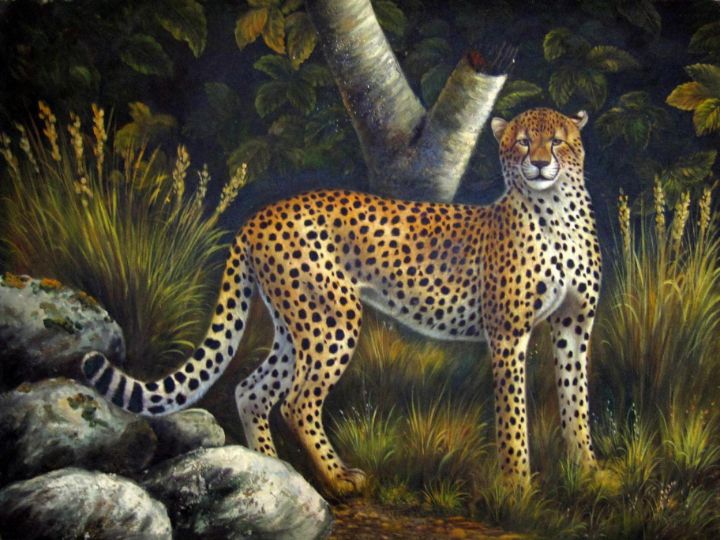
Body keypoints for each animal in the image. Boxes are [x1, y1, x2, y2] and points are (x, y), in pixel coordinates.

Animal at [82, 107, 602, 497]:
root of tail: (262, 212)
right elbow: (513, 413)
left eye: (558, 141)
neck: (555, 211)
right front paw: (517, 485)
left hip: (297, 324)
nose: (540, 164)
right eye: (522, 143)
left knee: (252, 390)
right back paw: (337, 478)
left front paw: (589, 472)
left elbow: (576, 398)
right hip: (332, 320)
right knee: (296, 402)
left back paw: (274, 470)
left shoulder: (574, 326)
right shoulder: (507, 334)